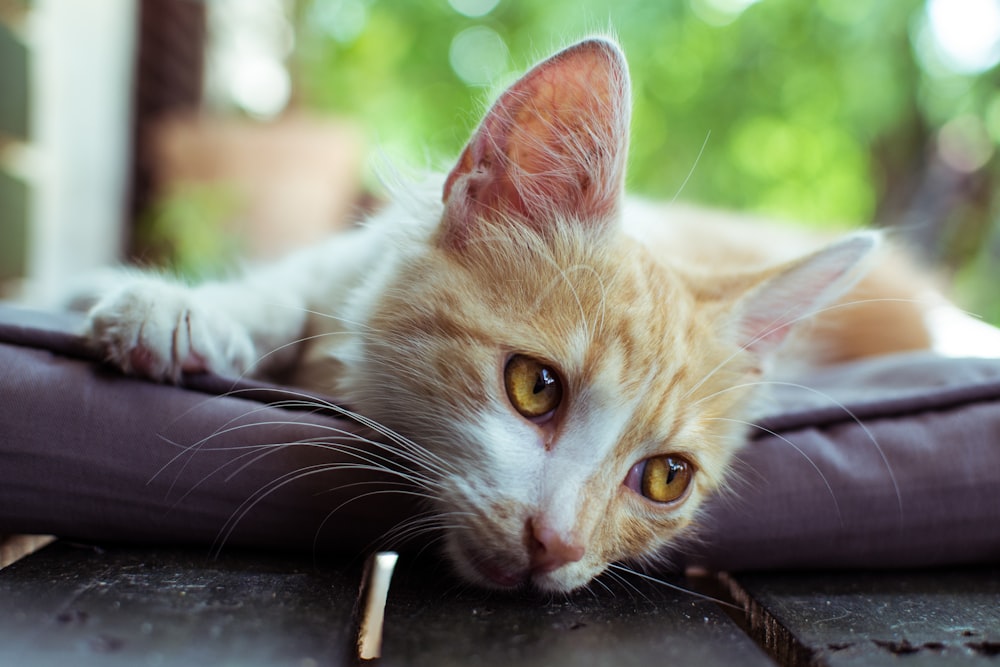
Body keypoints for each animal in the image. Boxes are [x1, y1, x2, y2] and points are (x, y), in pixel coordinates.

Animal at [88, 39, 936, 596]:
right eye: (535, 386)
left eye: (666, 477)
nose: (558, 542)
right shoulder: (355, 254)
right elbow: (292, 284)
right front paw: (178, 309)